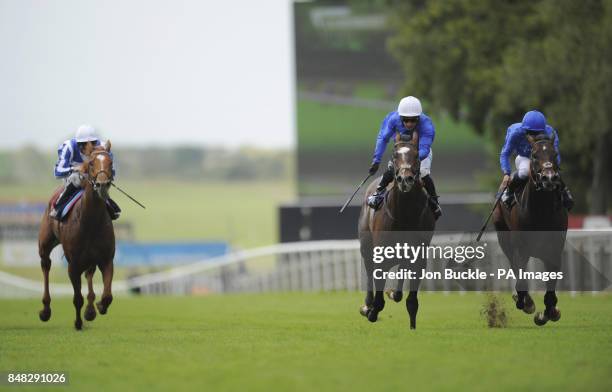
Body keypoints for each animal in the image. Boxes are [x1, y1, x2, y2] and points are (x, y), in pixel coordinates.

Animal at [38, 142, 116, 330]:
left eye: (110, 162)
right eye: (91, 163)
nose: (102, 184)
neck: (90, 221)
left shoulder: (106, 259)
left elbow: (107, 295)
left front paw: (98, 307)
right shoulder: (72, 264)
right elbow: (77, 298)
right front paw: (78, 323)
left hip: (90, 259)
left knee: (89, 274)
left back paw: (90, 309)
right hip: (45, 245)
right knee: (46, 265)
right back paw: (45, 310)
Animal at [356, 133, 438, 330]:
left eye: (416, 156)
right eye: (394, 155)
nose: (404, 179)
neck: (405, 215)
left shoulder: (418, 257)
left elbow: (411, 301)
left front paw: (412, 326)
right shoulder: (381, 256)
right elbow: (378, 297)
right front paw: (371, 311)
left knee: (401, 271)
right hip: (366, 246)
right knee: (369, 272)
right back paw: (367, 305)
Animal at [492, 134, 568, 324]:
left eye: (555, 153)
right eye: (534, 155)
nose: (549, 177)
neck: (541, 211)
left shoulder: (555, 249)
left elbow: (551, 283)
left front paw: (549, 311)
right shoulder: (521, 248)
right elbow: (520, 276)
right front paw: (526, 303)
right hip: (504, 237)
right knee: (514, 265)